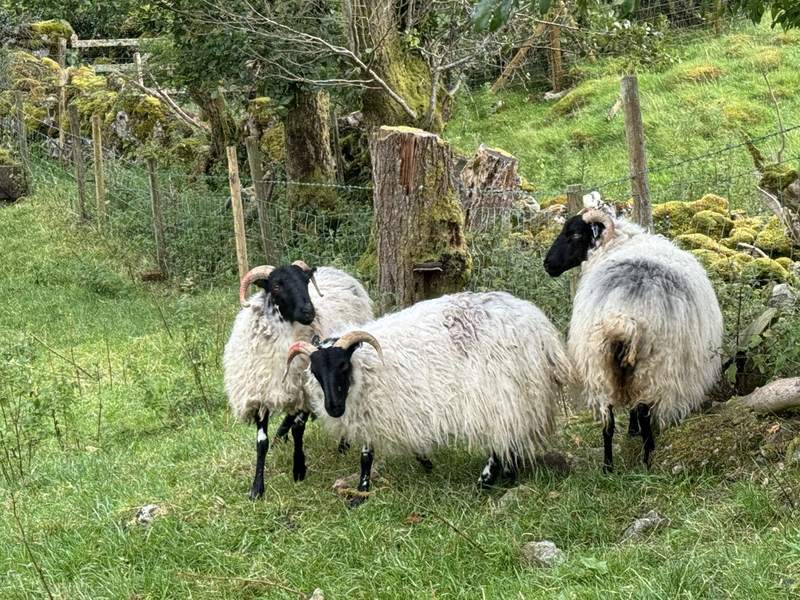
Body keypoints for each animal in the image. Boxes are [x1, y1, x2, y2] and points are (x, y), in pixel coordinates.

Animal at [223, 260, 374, 499]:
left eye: (306, 282)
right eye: (276, 285)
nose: (309, 311)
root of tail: (337, 271)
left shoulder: (305, 392)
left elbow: (298, 430)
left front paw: (299, 468)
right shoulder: (261, 393)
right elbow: (261, 442)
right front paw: (257, 488)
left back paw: (342, 445)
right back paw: (279, 437)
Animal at [284, 291, 572, 507]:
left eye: (343, 365)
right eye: (315, 371)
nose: (333, 408)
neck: (366, 365)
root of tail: (541, 329)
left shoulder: (377, 408)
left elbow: (367, 456)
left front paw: (361, 493)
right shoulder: (373, 410)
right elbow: (370, 452)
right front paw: (423, 463)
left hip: (500, 395)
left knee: (499, 443)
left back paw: (485, 482)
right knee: (509, 439)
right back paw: (507, 477)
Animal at [543, 209, 723, 471]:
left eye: (574, 234)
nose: (547, 264)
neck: (618, 242)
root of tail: (624, 317)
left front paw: (629, 432)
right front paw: (634, 432)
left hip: (600, 365)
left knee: (608, 422)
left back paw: (608, 466)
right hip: (651, 367)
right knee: (643, 411)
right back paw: (647, 458)